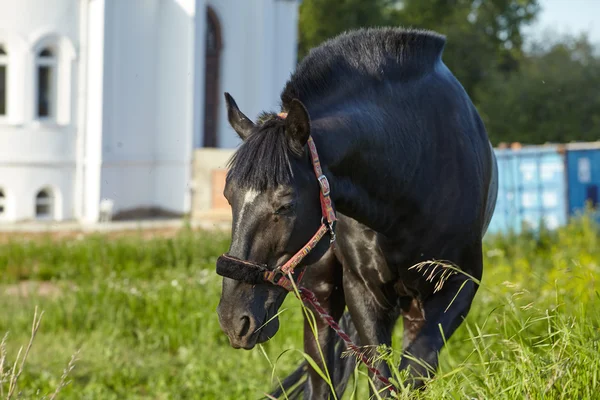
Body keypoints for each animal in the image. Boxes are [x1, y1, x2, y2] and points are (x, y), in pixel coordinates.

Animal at [214, 26, 496, 398]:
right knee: (321, 378)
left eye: (286, 204)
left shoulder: (458, 287)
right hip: (320, 295)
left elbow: (413, 372)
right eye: (228, 196)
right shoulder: (363, 289)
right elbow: (382, 378)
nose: (234, 319)